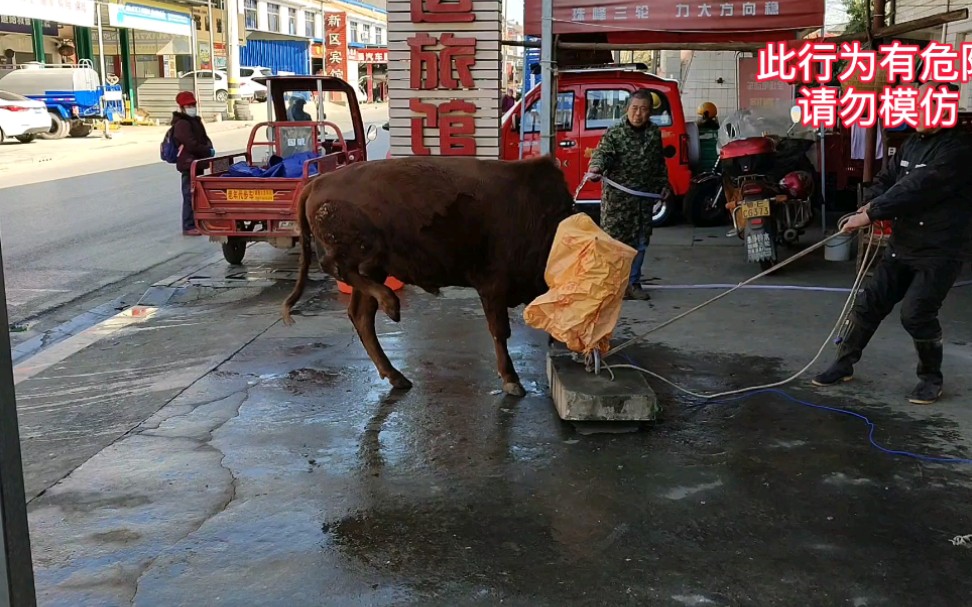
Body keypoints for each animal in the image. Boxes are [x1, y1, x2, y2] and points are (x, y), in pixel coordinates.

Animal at [280, 154, 576, 396]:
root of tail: (319, 182)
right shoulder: (493, 285)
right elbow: (499, 331)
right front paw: (512, 380)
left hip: (375, 266)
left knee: (361, 314)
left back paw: (397, 375)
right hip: (360, 252)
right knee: (335, 269)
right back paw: (391, 304)